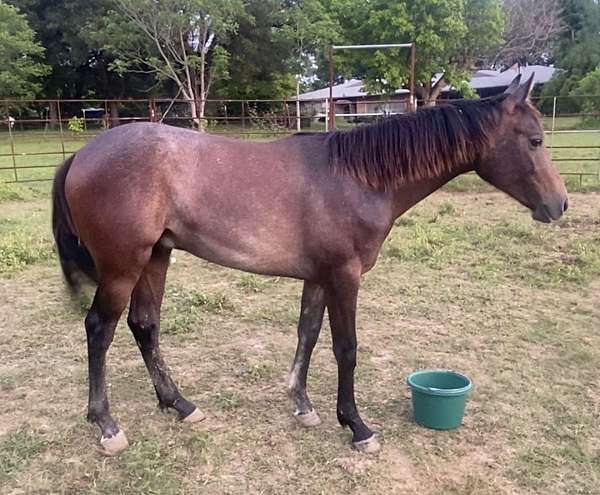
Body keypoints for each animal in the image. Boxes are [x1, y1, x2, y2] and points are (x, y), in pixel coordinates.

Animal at [51, 74, 568, 458]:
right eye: (535, 140)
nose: (559, 204)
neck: (358, 178)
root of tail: (81, 155)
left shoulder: (319, 277)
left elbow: (308, 334)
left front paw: (302, 405)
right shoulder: (344, 276)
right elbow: (346, 348)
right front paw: (357, 426)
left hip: (155, 257)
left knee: (145, 325)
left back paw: (179, 404)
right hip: (123, 266)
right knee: (99, 328)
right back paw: (106, 425)